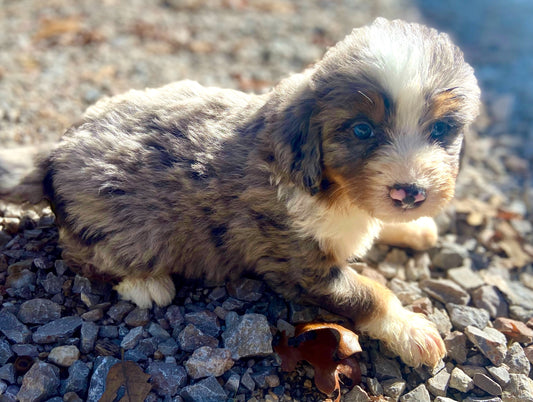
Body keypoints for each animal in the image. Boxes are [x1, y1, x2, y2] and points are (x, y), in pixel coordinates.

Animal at [5, 18, 478, 366]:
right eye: (362, 130)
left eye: (441, 129)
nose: (410, 193)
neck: (332, 188)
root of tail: (55, 151)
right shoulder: (298, 264)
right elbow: (369, 293)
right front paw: (413, 331)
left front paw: (415, 227)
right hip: (128, 227)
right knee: (84, 254)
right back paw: (147, 284)